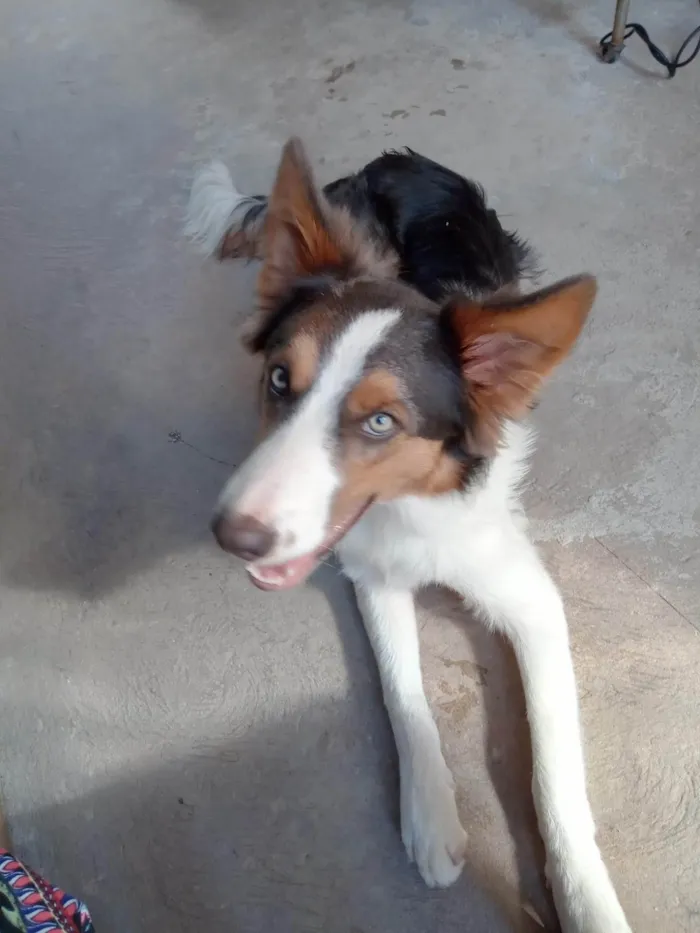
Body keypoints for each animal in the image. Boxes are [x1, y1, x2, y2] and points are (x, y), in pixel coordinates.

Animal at [187, 140, 636, 932]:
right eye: (279, 380)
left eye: (379, 422)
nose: (233, 536)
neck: (413, 506)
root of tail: (386, 162)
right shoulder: (374, 573)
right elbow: (404, 689)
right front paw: (428, 818)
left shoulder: (533, 603)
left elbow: (554, 766)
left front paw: (585, 898)